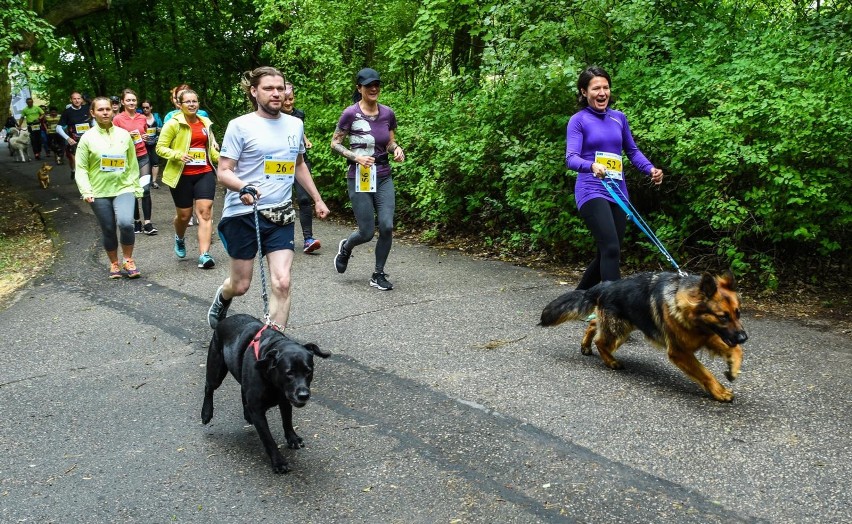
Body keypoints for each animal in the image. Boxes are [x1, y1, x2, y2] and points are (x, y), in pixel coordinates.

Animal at [201, 316, 332, 474]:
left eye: (308, 371)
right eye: (289, 373)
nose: (303, 395)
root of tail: (223, 320)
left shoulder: (285, 401)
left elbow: (287, 421)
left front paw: (292, 438)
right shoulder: (258, 411)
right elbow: (268, 439)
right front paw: (278, 461)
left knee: (242, 390)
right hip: (216, 370)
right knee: (209, 388)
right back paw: (206, 413)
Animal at [544, 270, 748, 402]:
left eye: (738, 313)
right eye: (723, 317)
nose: (744, 337)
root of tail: (606, 285)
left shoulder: (709, 337)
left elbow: (737, 350)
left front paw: (733, 368)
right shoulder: (680, 351)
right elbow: (705, 373)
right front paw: (719, 391)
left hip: (622, 325)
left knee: (594, 325)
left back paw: (586, 345)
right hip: (621, 329)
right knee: (601, 341)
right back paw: (610, 361)